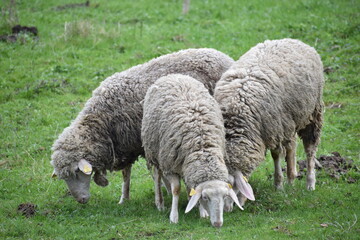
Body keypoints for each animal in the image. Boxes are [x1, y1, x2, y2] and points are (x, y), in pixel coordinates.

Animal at [51, 48, 236, 204]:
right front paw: (124, 199)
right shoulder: (125, 147)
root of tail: (225, 57)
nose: (81, 200)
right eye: (64, 178)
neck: (100, 122)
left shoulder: (145, 142)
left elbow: (156, 173)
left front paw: (164, 194)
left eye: (77, 172)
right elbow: (126, 175)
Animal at [141, 74, 242, 228]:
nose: (218, 224)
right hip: (155, 152)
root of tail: (173, 75)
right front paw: (174, 216)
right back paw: (160, 203)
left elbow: (193, 190)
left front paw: (201, 211)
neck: (202, 148)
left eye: (225, 196)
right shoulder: (170, 165)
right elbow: (176, 189)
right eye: (205, 197)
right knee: (157, 175)